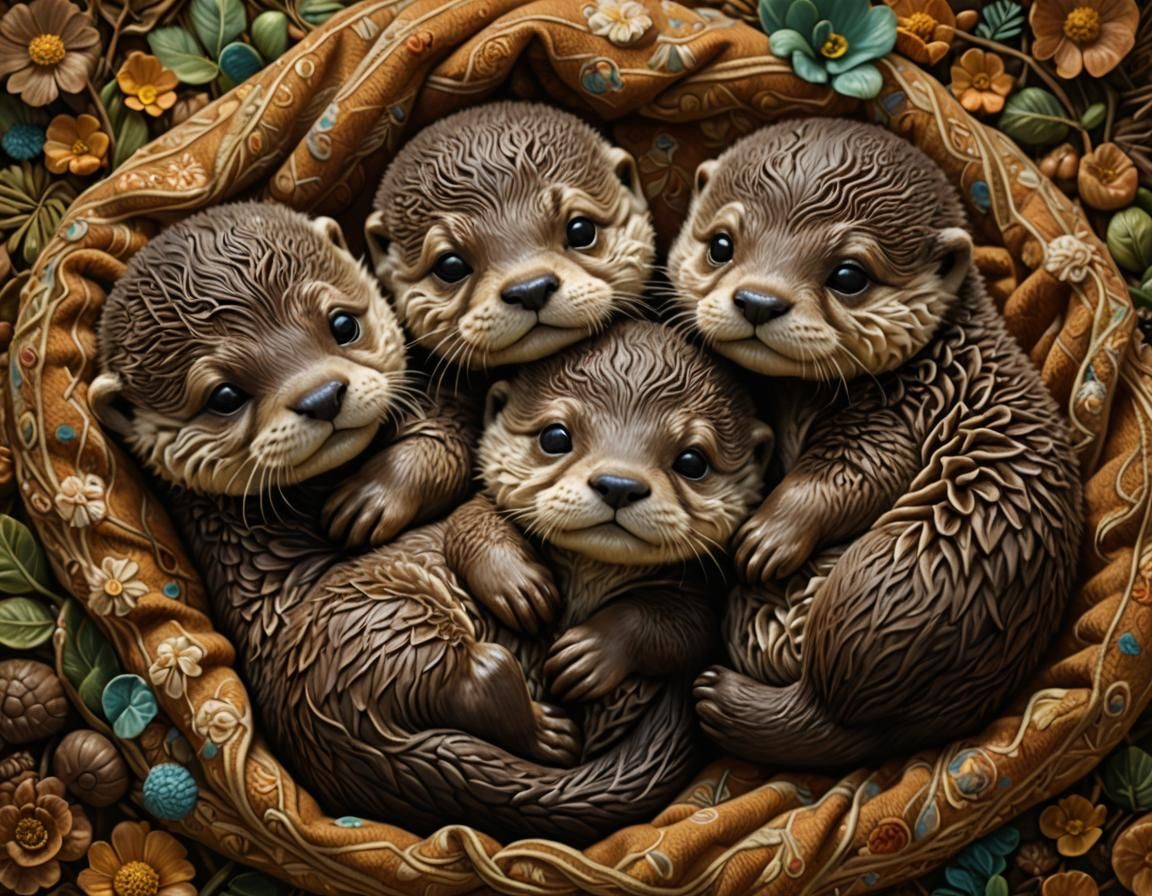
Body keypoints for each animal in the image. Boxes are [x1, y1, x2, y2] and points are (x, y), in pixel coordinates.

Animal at [668, 118, 1083, 767]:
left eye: (848, 276)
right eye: (721, 246)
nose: (758, 300)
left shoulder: (899, 414)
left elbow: (853, 473)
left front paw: (765, 536)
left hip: (891, 584)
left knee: (820, 709)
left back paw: (726, 699)